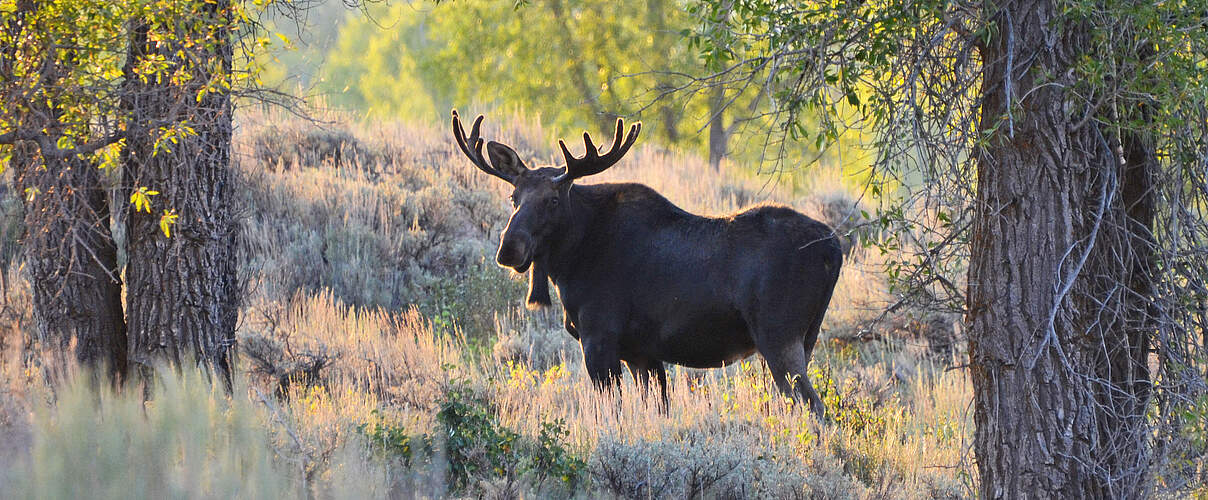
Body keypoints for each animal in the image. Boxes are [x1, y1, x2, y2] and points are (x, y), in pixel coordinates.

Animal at [451, 110, 840, 417]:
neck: (570, 263)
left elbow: (613, 414)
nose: (509, 249)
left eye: (553, 200)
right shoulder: (642, 354)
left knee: (816, 409)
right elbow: (658, 410)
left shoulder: (599, 339)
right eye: (513, 196)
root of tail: (834, 247)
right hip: (805, 340)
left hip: (778, 337)